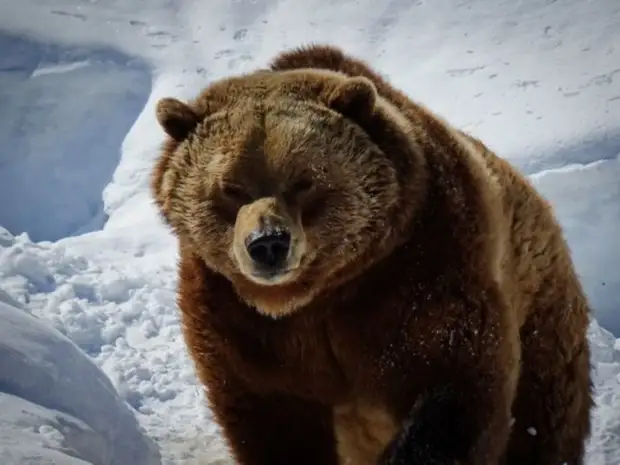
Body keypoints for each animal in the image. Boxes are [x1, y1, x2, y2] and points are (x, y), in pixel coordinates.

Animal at [151, 44, 596, 464]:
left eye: (304, 180)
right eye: (231, 187)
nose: (268, 243)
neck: (316, 295)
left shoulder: (417, 270)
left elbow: (455, 381)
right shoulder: (238, 321)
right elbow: (270, 421)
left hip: (541, 313)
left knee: (543, 418)